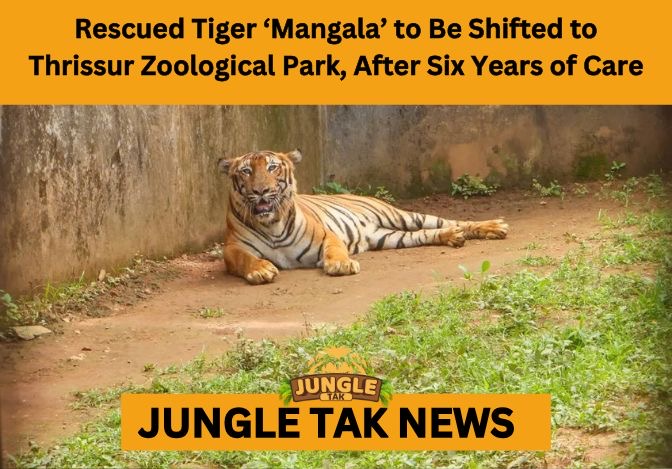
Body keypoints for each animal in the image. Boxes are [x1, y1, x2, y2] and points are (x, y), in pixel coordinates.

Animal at [218, 149, 508, 285]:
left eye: (272, 167)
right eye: (246, 171)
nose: (261, 191)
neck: (272, 225)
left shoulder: (327, 235)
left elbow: (335, 249)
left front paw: (341, 265)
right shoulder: (233, 248)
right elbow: (245, 259)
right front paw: (260, 270)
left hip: (403, 216)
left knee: (450, 221)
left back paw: (495, 227)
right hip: (389, 237)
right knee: (427, 234)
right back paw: (452, 238)